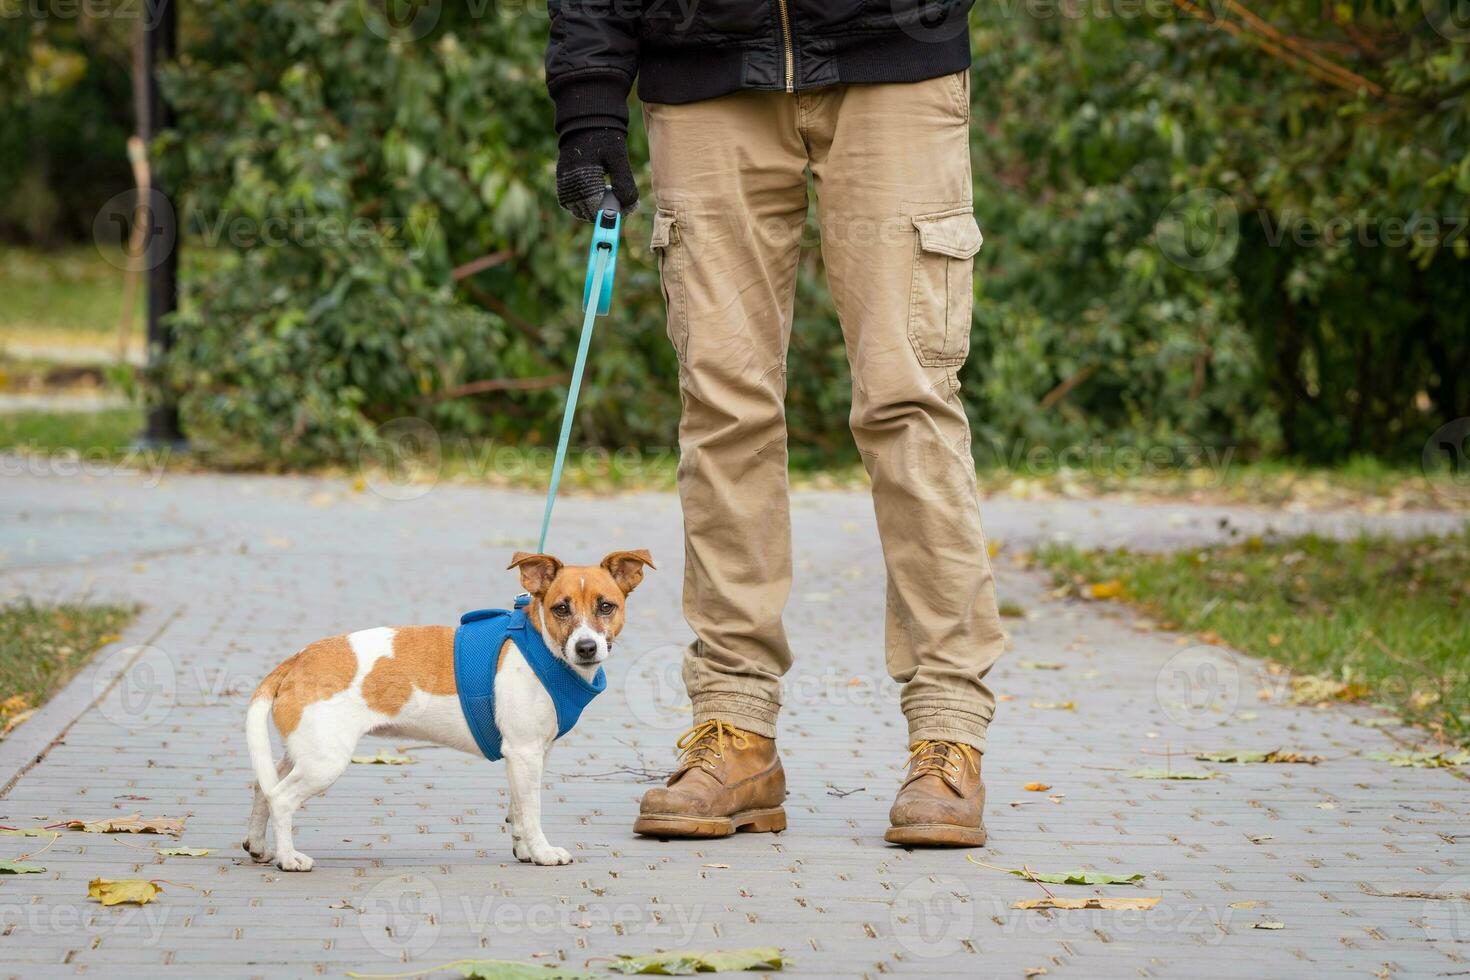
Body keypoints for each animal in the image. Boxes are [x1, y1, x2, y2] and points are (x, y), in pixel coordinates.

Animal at [244, 549, 652, 869]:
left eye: (606, 606)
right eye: (561, 609)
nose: (586, 647)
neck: (543, 649)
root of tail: (298, 659)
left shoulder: (527, 755)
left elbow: (518, 809)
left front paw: (523, 849)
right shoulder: (524, 753)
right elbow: (532, 810)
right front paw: (542, 852)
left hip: (301, 753)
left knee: (264, 787)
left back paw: (260, 847)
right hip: (324, 761)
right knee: (281, 798)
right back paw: (289, 859)